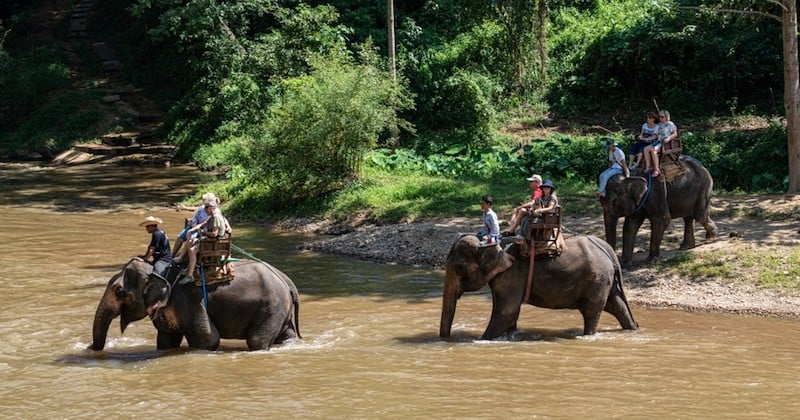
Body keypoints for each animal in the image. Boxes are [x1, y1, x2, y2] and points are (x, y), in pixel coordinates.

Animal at [88, 260, 300, 352]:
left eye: (119, 291)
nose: (89, 347)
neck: (156, 271)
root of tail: (289, 283)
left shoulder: (189, 300)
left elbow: (208, 338)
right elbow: (166, 341)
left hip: (271, 307)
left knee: (256, 341)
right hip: (280, 311)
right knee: (286, 335)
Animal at [438, 235, 636, 340]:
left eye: (459, 268)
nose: (446, 339)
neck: (490, 243)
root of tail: (608, 249)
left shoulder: (510, 277)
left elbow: (506, 313)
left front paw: (481, 340)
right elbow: (509, 315)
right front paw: (511, 335)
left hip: (596, 279)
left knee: (592, 310)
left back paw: (586, 336)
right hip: (604, 280)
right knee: (616, 305)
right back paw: (632, 329)